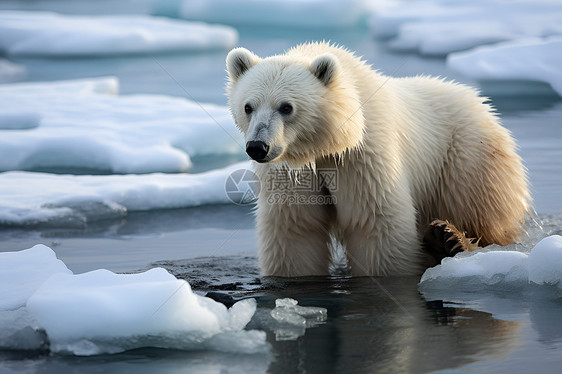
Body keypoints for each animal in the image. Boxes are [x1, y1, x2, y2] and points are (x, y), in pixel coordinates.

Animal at [224, 42, 528, 276]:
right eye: (248, 107)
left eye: (286, 107)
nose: (257, 147)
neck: (329, 143)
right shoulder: (290, 172)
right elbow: (295, 230)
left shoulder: (363, 156)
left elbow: (374, 224)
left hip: (466, 155)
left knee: (480, 213)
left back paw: (452, 240)